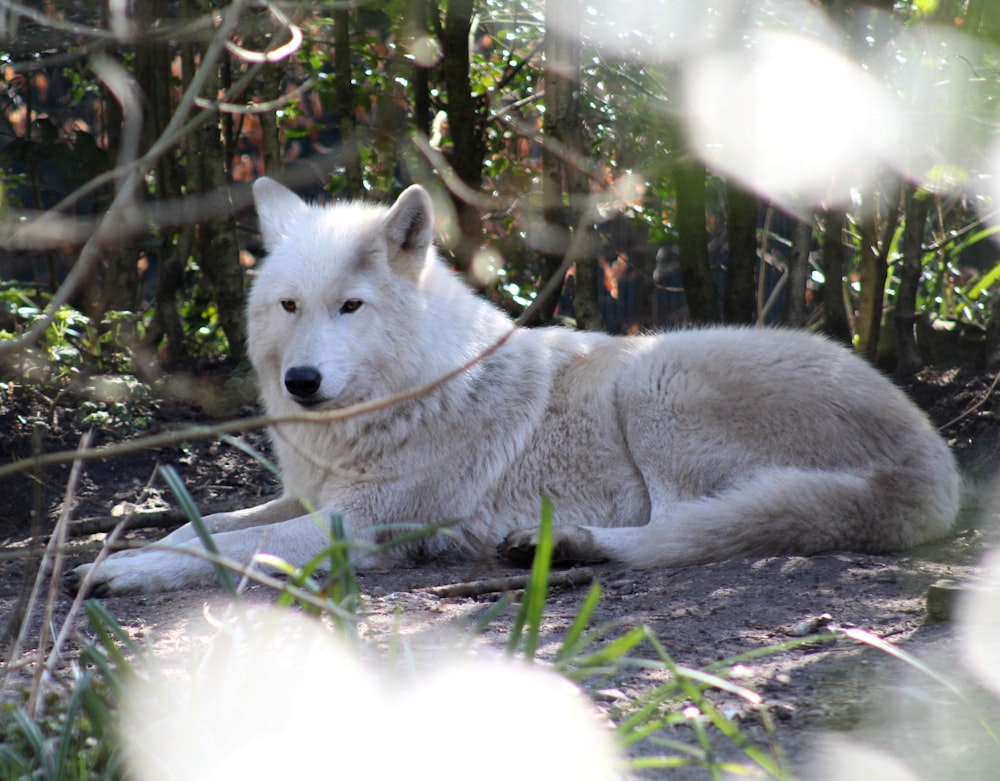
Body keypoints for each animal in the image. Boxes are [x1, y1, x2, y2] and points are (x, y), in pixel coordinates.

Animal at [70, 180, 960, 596]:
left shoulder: (357, 522)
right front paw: (127, 549)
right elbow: (209, 522)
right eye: (289, 306)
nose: (301, 381)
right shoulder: (309, 495)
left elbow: (223, 545)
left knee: (687, 530)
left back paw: (566, 545)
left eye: (350, 306)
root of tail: (933, 463)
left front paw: (125, 571)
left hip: (653, 379)